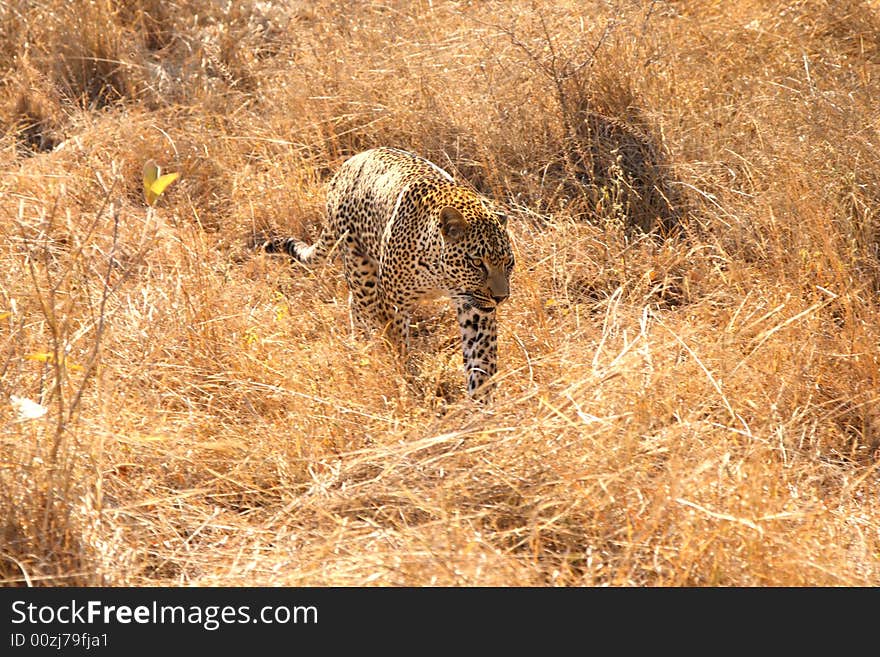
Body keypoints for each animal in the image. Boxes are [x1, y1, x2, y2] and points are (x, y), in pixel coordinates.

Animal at [262, 146, 512, 398]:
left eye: (508, 262)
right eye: (477, 262)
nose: (500, 297)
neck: (440, 276)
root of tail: (347, 165)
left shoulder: (476, 310)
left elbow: (481, 360)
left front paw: (482, 402)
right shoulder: (392, 305)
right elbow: (398, 348)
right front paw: (407, 387)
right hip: (360, 271)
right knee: (359, 306)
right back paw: (362, 349)